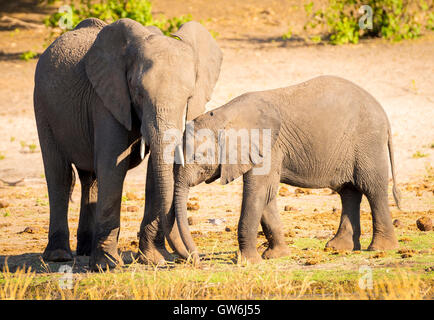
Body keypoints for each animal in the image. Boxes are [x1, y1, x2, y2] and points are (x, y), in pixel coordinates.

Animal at [33, 16, 222, 268]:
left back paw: (85, 251)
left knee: (90, 178)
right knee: (60, 174)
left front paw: (154, 260)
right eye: (138, 92)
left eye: (189, 97)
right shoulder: (107, 98)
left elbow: (153, 171)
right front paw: (107, 265)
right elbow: (113, 166)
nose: (194, 260)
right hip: (42, 106)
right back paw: (59, 256)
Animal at [174, 75, 400, 264]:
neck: (223, 115)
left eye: (198, 157)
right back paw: (339, 248)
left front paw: (248, 262)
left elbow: (257, 193)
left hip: (368, 143)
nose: (195, 261)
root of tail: (383, 114)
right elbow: (266, 196)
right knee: (349, 192)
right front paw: (276, 256)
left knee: (372, 189)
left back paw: (380, 249)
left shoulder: (271, 147)